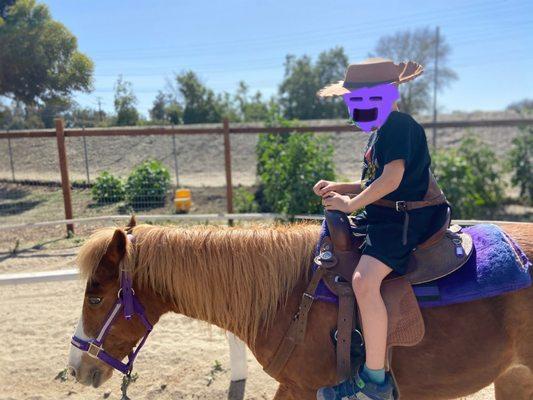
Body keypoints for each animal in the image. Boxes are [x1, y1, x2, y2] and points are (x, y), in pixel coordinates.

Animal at [67, 220, 532, 398]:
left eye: (95, 298)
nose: (77, 368)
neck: (289, 298)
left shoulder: (304, 388)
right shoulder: (294, 387)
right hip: (514, 377)